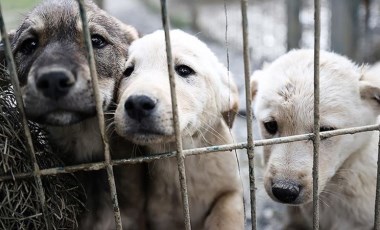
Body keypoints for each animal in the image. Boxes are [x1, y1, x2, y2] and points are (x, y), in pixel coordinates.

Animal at [114, 29, 243, 230]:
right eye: (127, 71)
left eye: (184, 70)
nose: (137, 104)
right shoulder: (161, 217)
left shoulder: (232, 189)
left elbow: (227, 211)